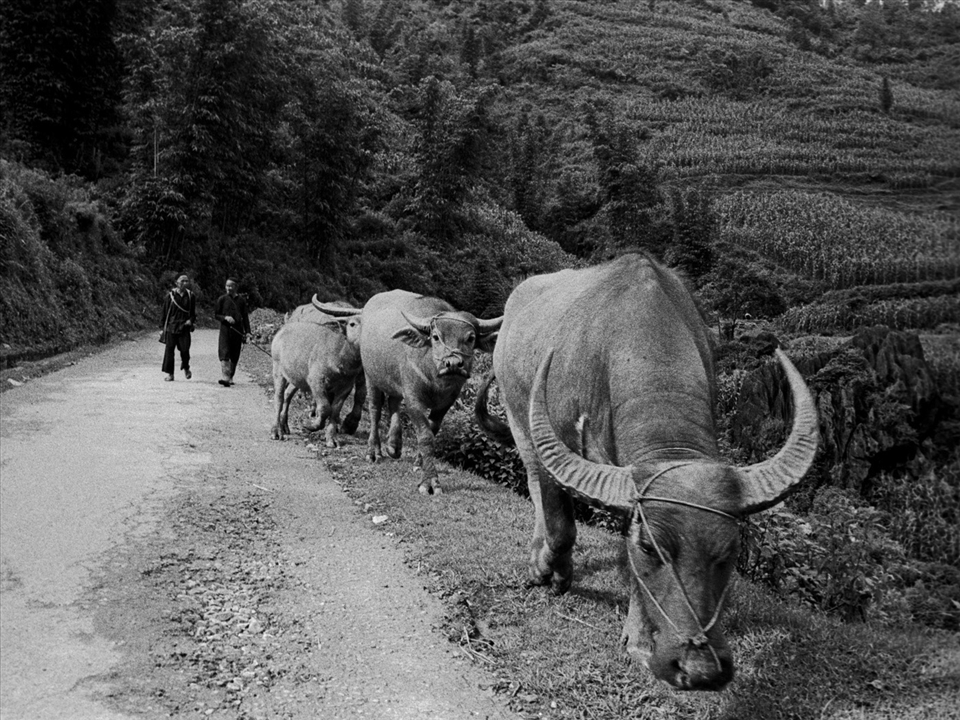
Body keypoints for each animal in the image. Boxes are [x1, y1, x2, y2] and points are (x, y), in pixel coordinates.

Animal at [316, 290, 502, 495]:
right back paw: (374, 451)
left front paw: (419, 462)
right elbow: (425, 436)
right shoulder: (413, 399)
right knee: (375, 410)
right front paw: (430, 482)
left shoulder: (447, 402)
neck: (435, 376)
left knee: (394, 404)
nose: (453, 364)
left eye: (470, 338)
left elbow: (432, 430)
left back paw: (393, 446)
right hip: (371, 377)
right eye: (436, 336)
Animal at [475, 253, 818, 691]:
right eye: (650, 548)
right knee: (537, 480)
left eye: (729, 551)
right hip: (516, 412)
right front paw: (554, 574)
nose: (699, 669)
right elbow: (564, 518)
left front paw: (636, 637)